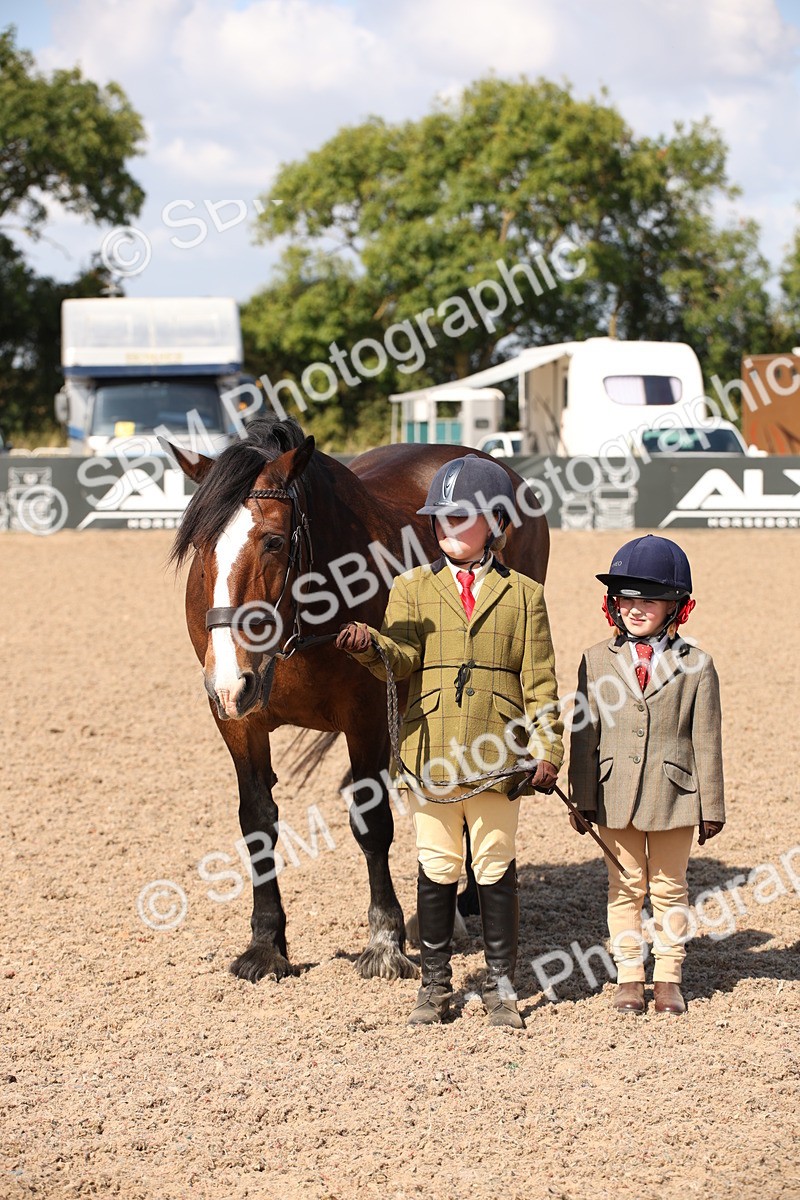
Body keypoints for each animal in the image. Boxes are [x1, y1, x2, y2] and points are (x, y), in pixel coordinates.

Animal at [166, 415, 549, 984]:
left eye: (274, 541)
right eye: (198, 544)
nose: (230, 682)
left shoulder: (365, 717)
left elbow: (372, 825)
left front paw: (384, 942)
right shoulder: (238, 723)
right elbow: (257, 822)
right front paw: (266, 943)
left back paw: (467, 905)